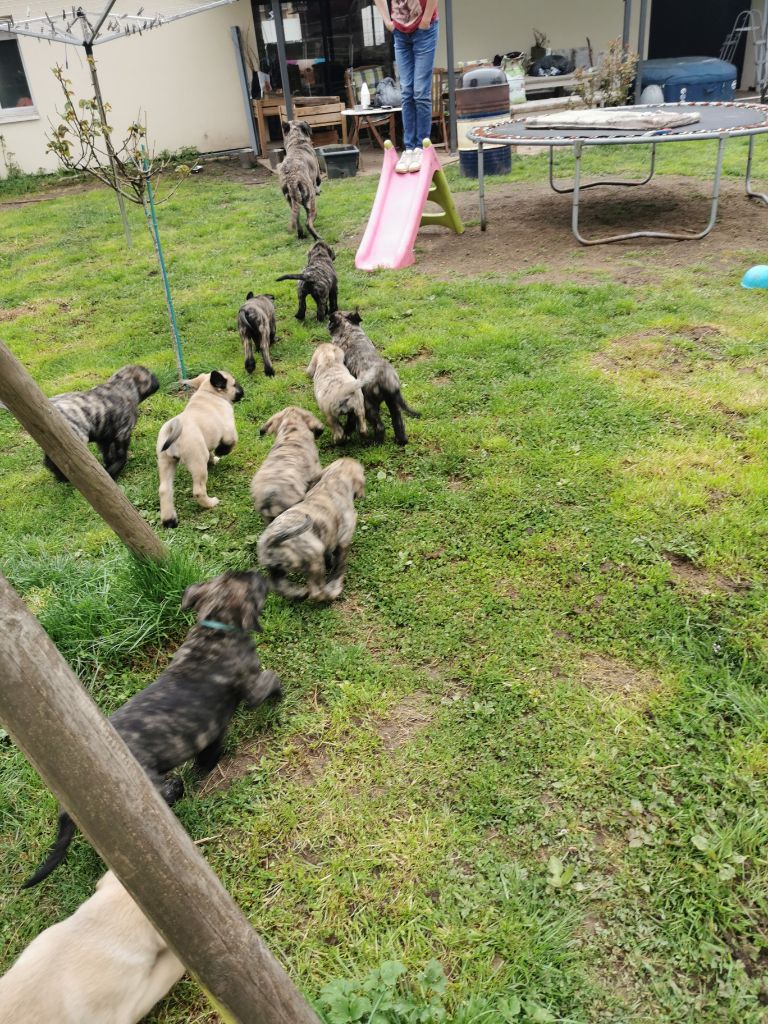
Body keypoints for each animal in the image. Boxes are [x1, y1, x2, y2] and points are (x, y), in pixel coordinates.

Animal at [23, 569, 282, 888]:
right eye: (254, 584)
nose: (262, 573)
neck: (216, 627)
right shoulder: (252, 686)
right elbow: (270, 680)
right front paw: (280, 692)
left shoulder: (211, 731)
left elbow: (209, 752)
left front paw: (206, 768)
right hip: (148, 785)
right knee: (168, 791)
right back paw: (178, 793)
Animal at [159, 370, 246, 528]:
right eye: (235, 384)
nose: (242, 390)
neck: (209, 392)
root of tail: (173, 428)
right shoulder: (229, 431)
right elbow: (229, 444)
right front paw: (221, 451)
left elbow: (211, 453)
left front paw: (214, 459)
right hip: (197, 460)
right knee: (198, 490)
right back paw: (210, 503)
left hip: (165, 462)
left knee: (164, 490)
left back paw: (169, 520)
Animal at [259, 456, 366, 598]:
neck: (333, 480)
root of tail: (272, 540)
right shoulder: (344, 540)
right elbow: (339, 566)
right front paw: (335, 583)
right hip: (314, 557)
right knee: (317, 591)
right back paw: (329, 594)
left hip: (276, 569)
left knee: (278, 585)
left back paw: (298, 593)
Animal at [325, 307, 417, 444]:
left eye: (331, 320)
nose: (327, 325)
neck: (348, 328)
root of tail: (386, 379)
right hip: (393, 403)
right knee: (398, 422)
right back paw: (401, 441)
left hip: (368, 405)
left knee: (380, 426)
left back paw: (375, 442)